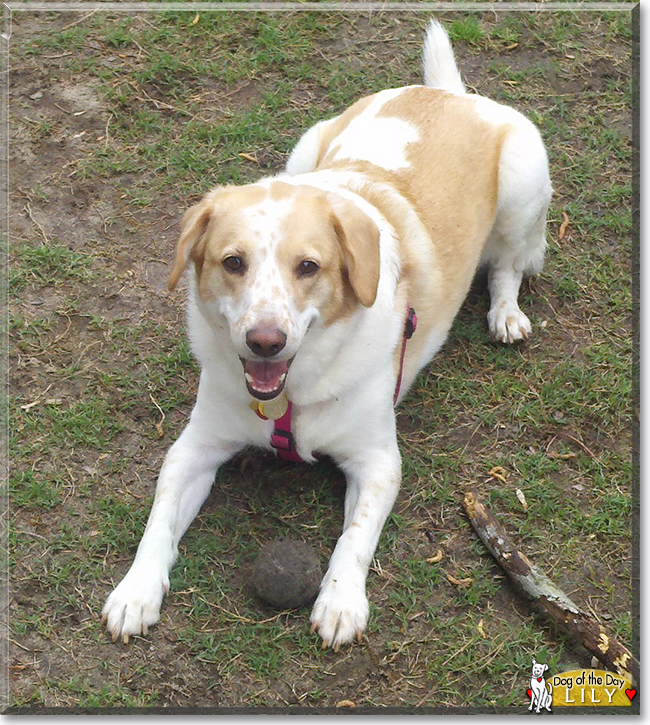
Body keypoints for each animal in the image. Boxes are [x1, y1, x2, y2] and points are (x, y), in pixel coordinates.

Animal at [100, 19, 548, 652]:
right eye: (232, 262)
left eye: (308, 267)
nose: (264, 341)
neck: (289, 396)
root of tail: (450, 94)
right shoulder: (193, 448)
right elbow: (157, 522)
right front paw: (136, 591)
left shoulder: (379, 462)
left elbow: (353, 538)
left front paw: (339, 602)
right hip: (305, 147)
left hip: (522, 185)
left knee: (509, 264)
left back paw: (506, 315)